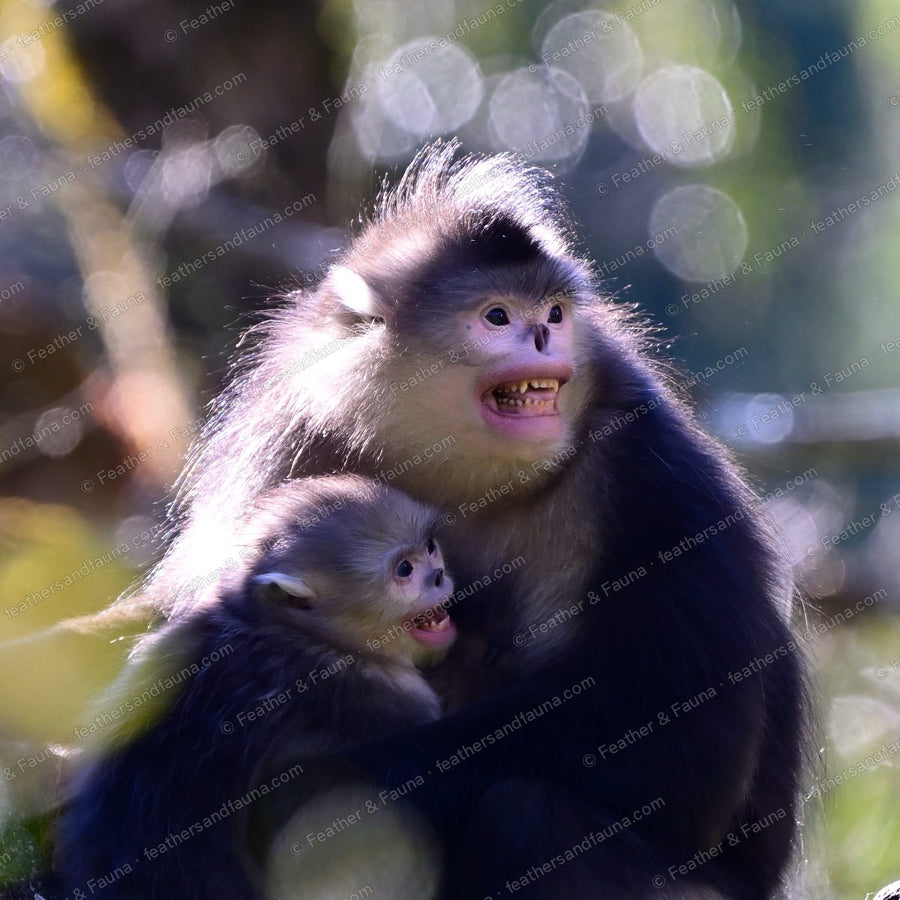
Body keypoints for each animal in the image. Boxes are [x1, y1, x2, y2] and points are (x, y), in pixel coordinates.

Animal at [130, 140, 808, 898]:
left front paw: (307, 788)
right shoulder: (291, 436)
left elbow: (678, 750)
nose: (543, 337)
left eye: (554, 312)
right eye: (498, 317)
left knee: (525, 810)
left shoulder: (655, 473)